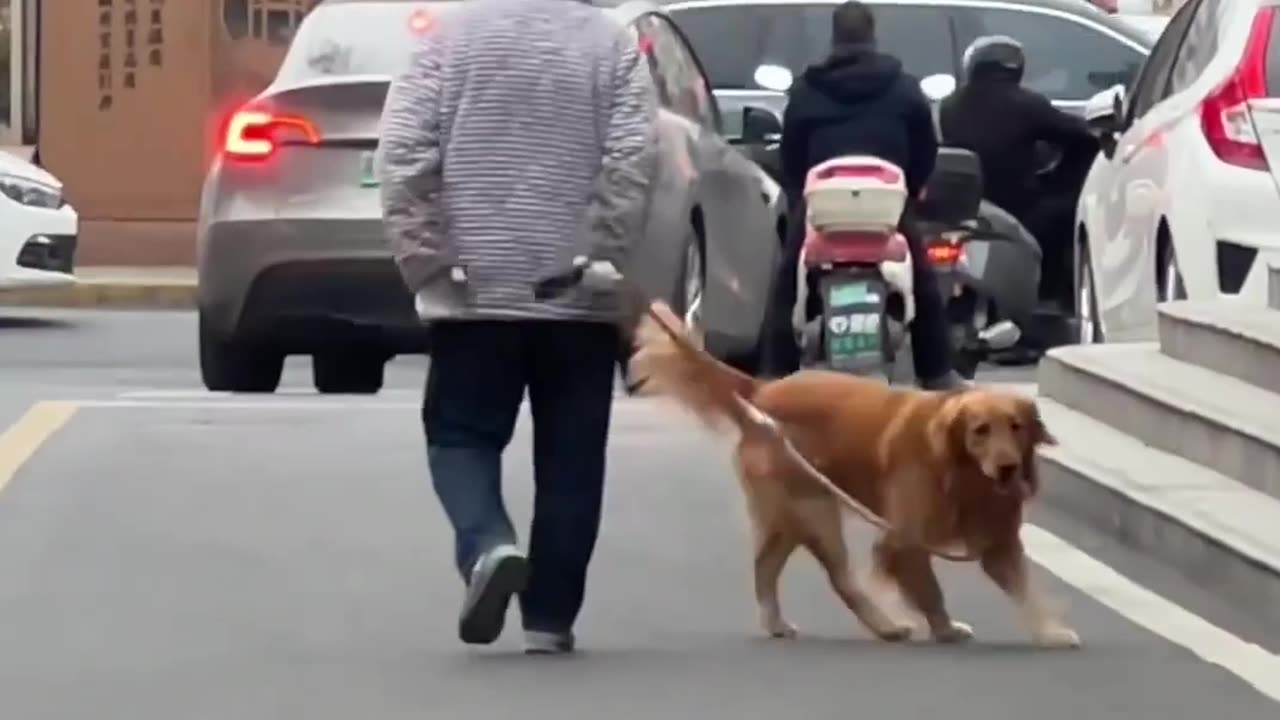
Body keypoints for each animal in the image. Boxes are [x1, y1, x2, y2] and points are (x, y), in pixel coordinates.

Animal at [629, 299, 1080, 648]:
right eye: (980, 431)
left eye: (1016, 428)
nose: (1007, 467)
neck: (960, 474)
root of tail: (761, 391)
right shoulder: (902, 541)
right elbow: (930, 591)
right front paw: (945, 629)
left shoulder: (1001, 543)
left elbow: (1028, 592)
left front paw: (1050, 631)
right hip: (815, 509)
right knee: (840, 579)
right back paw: (886, 625)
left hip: (791, 516)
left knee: (765, 568)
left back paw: (777, 622)